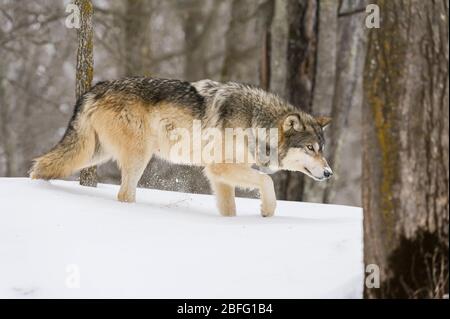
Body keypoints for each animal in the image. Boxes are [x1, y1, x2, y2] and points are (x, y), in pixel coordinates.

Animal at [28, 77, 330, 218]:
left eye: (322, 148)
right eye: (310, 148)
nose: (329, 173)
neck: (254, 121)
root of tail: (94, 88)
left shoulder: (219, 177)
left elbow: (229, 209)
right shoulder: (221, 168)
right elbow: (267, 180)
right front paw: (267, 210)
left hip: (92, 153)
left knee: (45, 163)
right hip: (139, 155)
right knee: (124, 194)